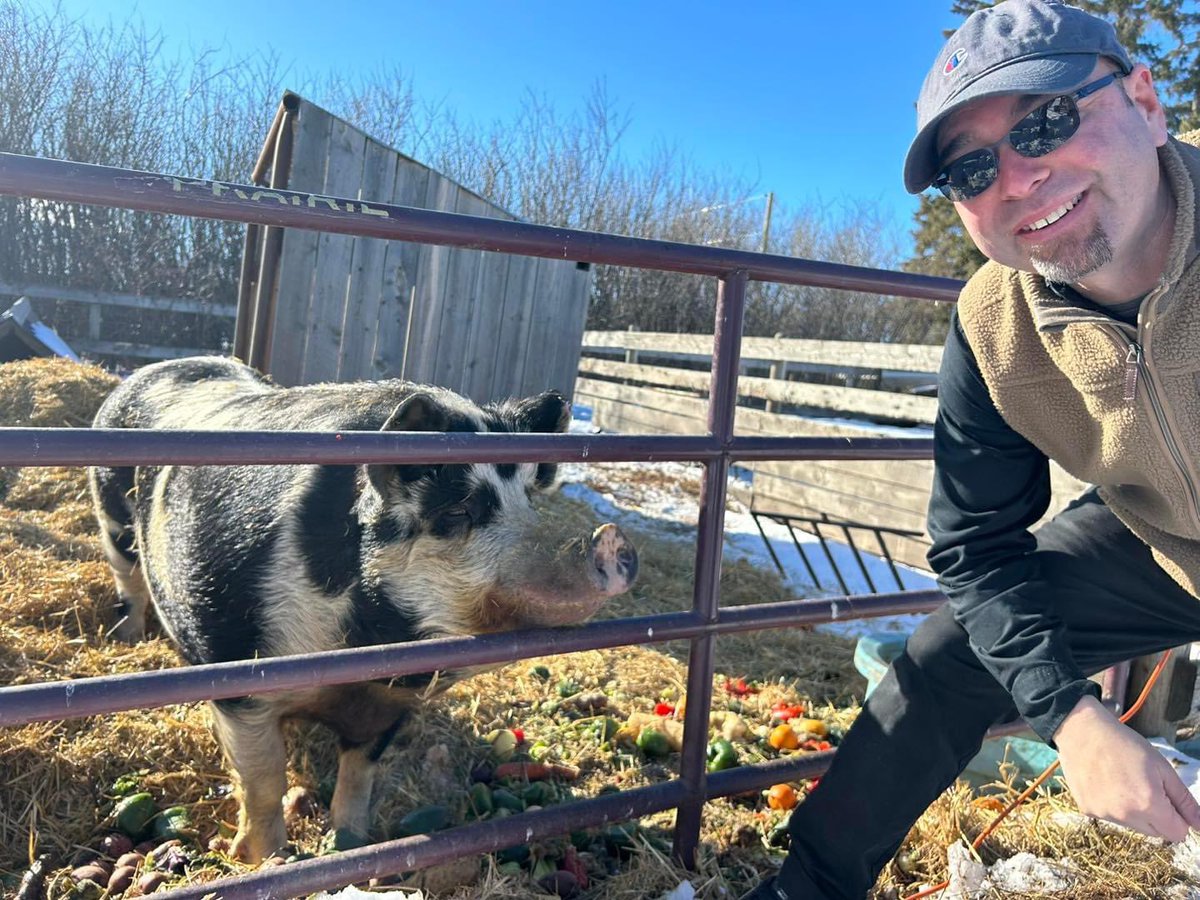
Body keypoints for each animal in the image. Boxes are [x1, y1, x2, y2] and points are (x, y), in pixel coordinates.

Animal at [87, 355, 638, 864]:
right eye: (457, 511)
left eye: (531, 503)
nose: (609, 539)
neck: (362, 654)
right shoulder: (235, 674)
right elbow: (263, 781)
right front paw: (263, 859)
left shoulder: (387, 708)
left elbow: (360, 776)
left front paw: (354, 842)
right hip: (111, 516)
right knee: (128, 577)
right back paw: (128, 637)